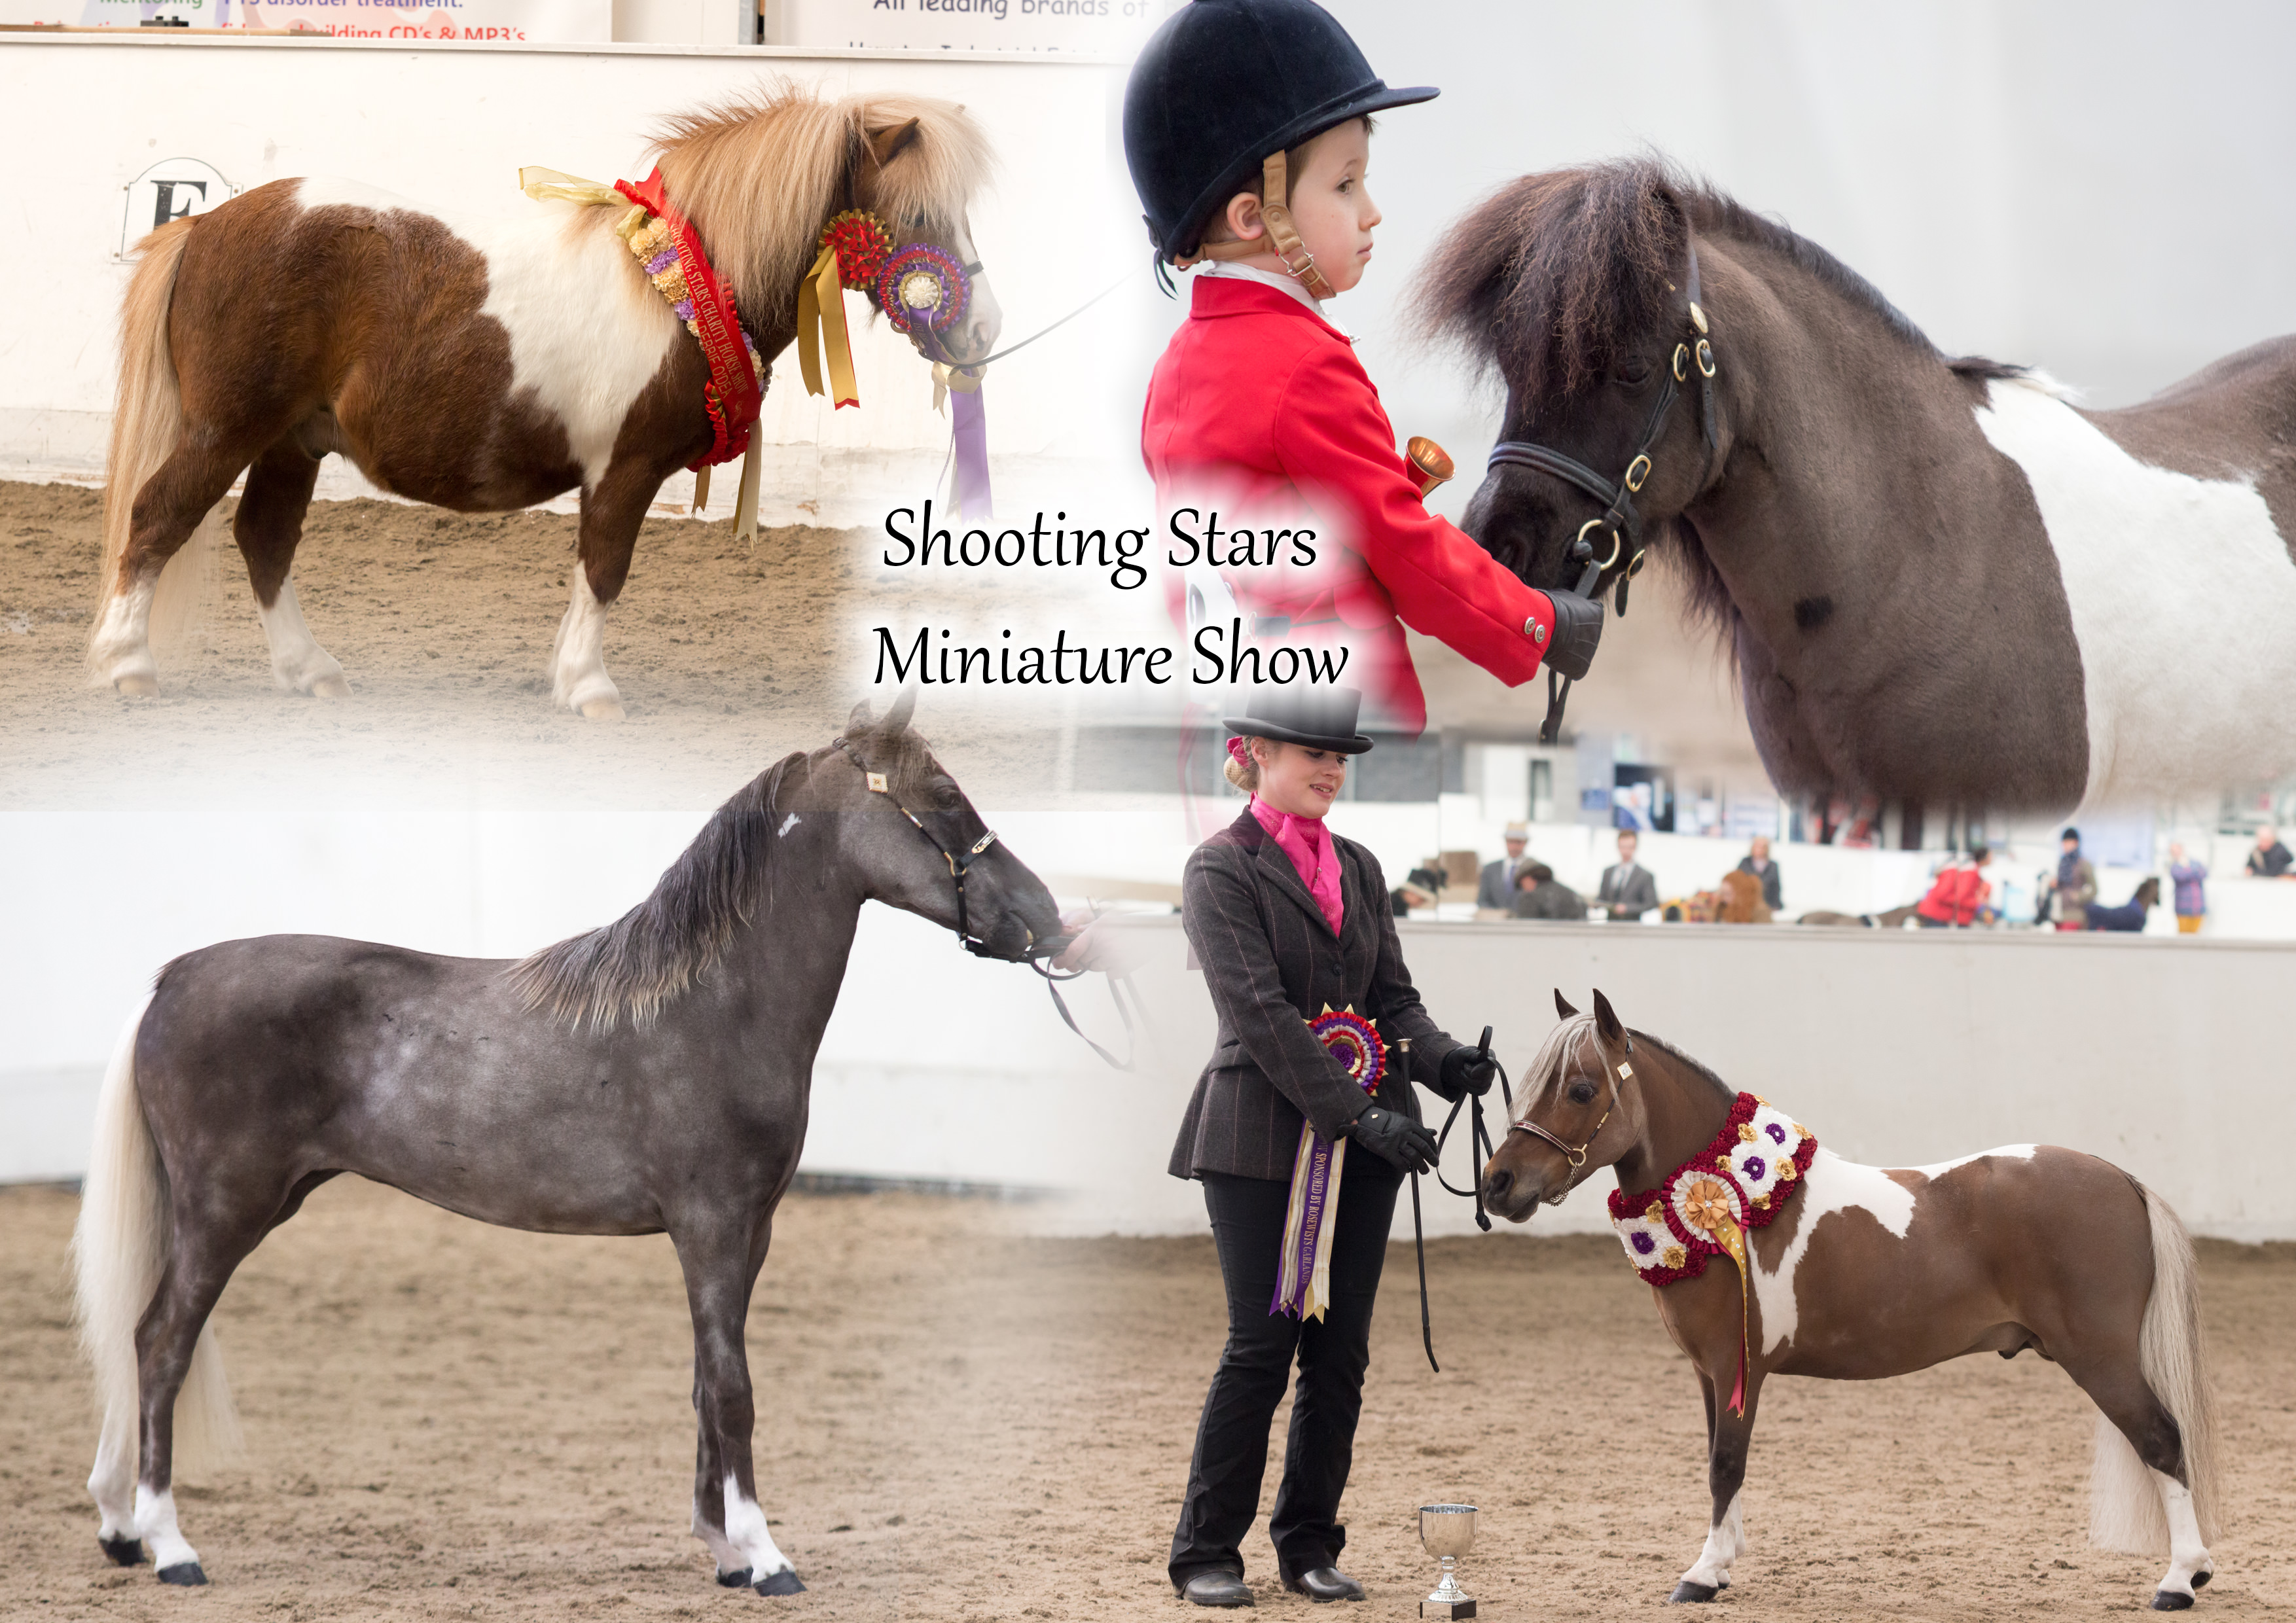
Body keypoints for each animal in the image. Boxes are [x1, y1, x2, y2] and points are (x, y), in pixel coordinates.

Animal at [74, 693, 1065, 1597]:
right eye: (945, 796)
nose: (1049, 920)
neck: (713, 1005)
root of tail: (171, 981)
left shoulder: (750, 1231)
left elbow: (706, 1380)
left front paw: (722, 1549)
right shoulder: (710, 1225)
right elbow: (734, 1388)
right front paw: (766, 1556)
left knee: (138, 1340)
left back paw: (121, 1528)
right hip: (225, 1210)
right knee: (161, 1344)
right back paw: (170, 1545)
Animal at [84, 85, 1001, 721]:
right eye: (920, 213)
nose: (983, 328)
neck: (677, 284)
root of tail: (202, 227)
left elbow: (586, 575)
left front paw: (565, 674)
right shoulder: (625, 468)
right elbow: (604, 569)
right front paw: (591, 687)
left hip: (291, 441)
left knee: (265, 539)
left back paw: (309, 672)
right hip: (226, 431)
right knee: (158, 517)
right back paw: (127, 667)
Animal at [1479, 991, 2213, 1616]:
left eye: (1580, 1088)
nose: (1499, 1183)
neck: (1729, 1202)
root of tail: (2121, 1179)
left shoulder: (1736, 1365)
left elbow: (1725, 1465)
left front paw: (1702, 1573)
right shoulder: (1710, 1374)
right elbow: (1719, 1458)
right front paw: (1723, 1563)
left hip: (2101, 1358)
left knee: (2162, 1439)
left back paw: (2179, 1580)